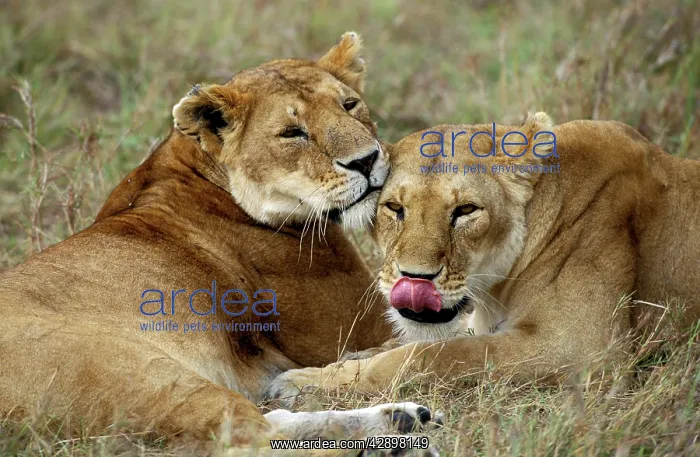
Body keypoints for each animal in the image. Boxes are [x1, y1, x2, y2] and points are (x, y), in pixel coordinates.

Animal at [0, 33, 437, 456]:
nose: (365, 161)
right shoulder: (357, 328)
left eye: (350, 105)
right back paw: (392, 438)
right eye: (292, 133)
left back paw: (403, 420)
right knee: (249, 438)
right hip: (147, 375)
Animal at [266, 113, 700, 400]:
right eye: (394, 208)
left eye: (465, 210)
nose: (415, 279)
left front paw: (305, 383)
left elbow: (433, 355)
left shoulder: (585, 352)